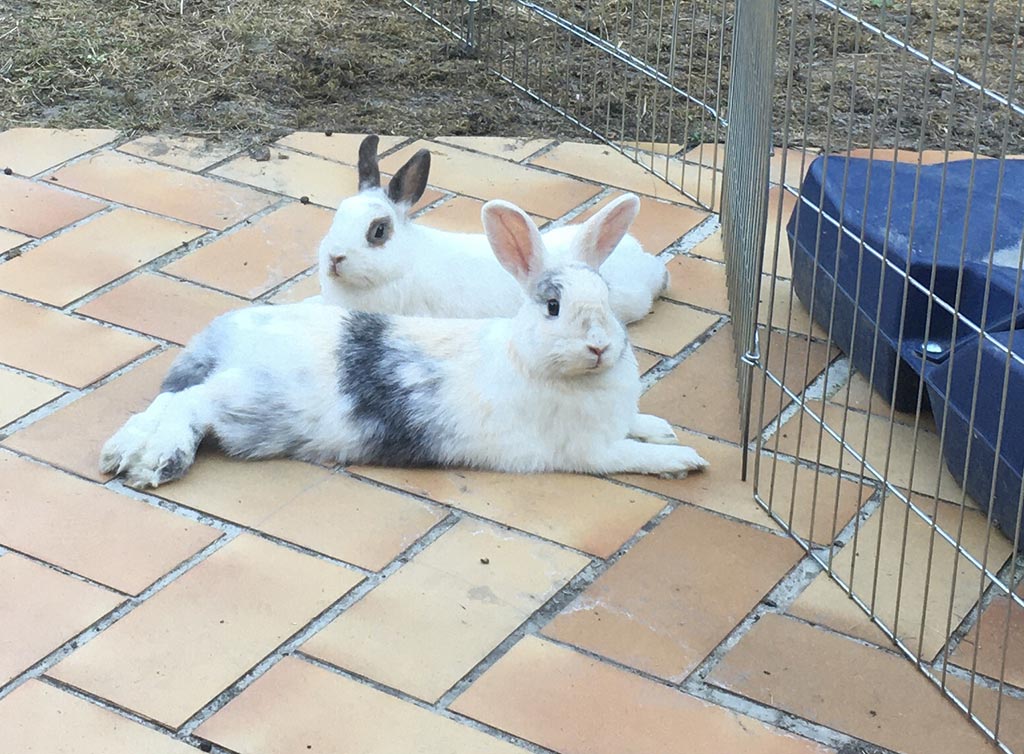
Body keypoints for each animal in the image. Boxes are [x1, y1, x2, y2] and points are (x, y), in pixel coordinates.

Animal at [100, 196, 708, 489]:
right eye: (552, 307)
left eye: (605, 300)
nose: (600, 347)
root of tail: (223, 338)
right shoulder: (592, 451)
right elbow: (634, 456)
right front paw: (686, 459)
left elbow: (640, 427)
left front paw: (662, 428)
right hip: (251, 401)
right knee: (185, 404)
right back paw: (149, 458)